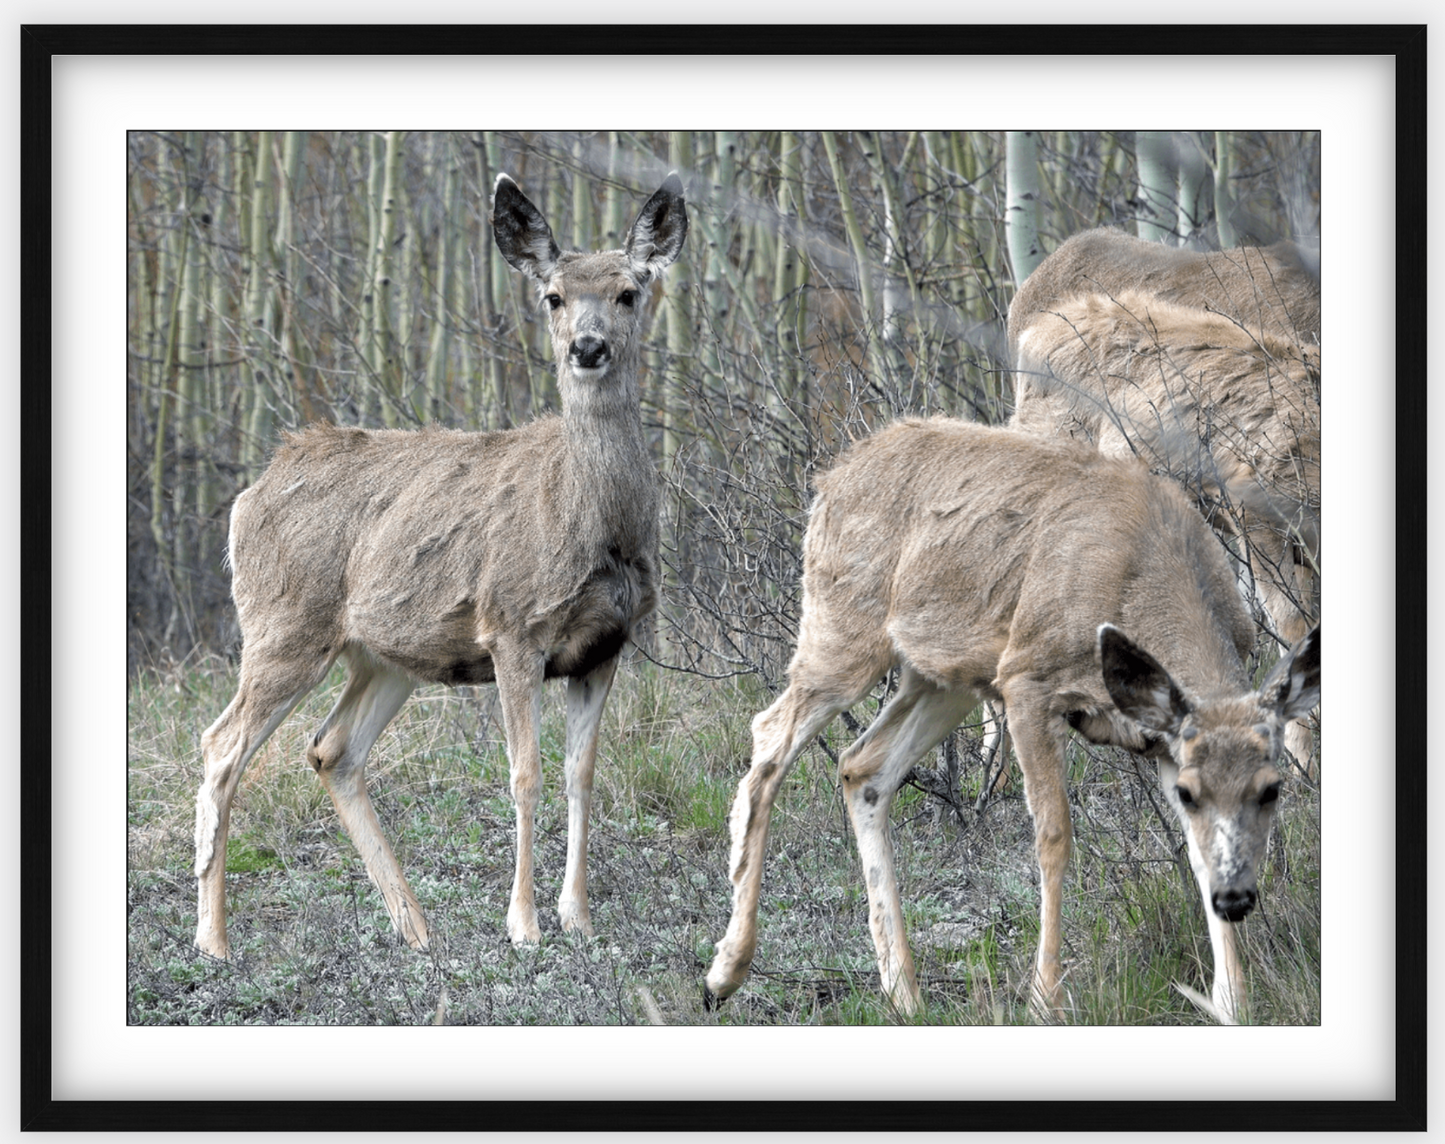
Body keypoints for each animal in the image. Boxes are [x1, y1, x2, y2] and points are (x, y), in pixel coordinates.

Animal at [196, 171, 687, 959]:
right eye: (553, 295)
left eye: (627, 292)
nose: (586, 348)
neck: (592, 525)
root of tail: (248, 497)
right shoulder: (514, 627)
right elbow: (525, 774)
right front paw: (524, 926)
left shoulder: (607, 643)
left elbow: (581, 774)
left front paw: (578, 917)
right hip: (283, 625)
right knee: (222, 745)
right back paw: (213, 940)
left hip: (382, 654)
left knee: (331, 750)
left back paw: (416, 928)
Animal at [699, 418, 1323, 1016]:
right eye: (1194, 792)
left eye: (1272, 788)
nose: (1237, 900)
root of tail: (830, 477)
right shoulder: (1028, 680)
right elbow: (1054, 836)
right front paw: (1046, 998)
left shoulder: (1160, 734)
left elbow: (1196, 852)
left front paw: (1232, 1000)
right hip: (844, 629)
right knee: (769, 738)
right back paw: (725, 972)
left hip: (945, 674)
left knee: (862, 766)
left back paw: (903, 993)